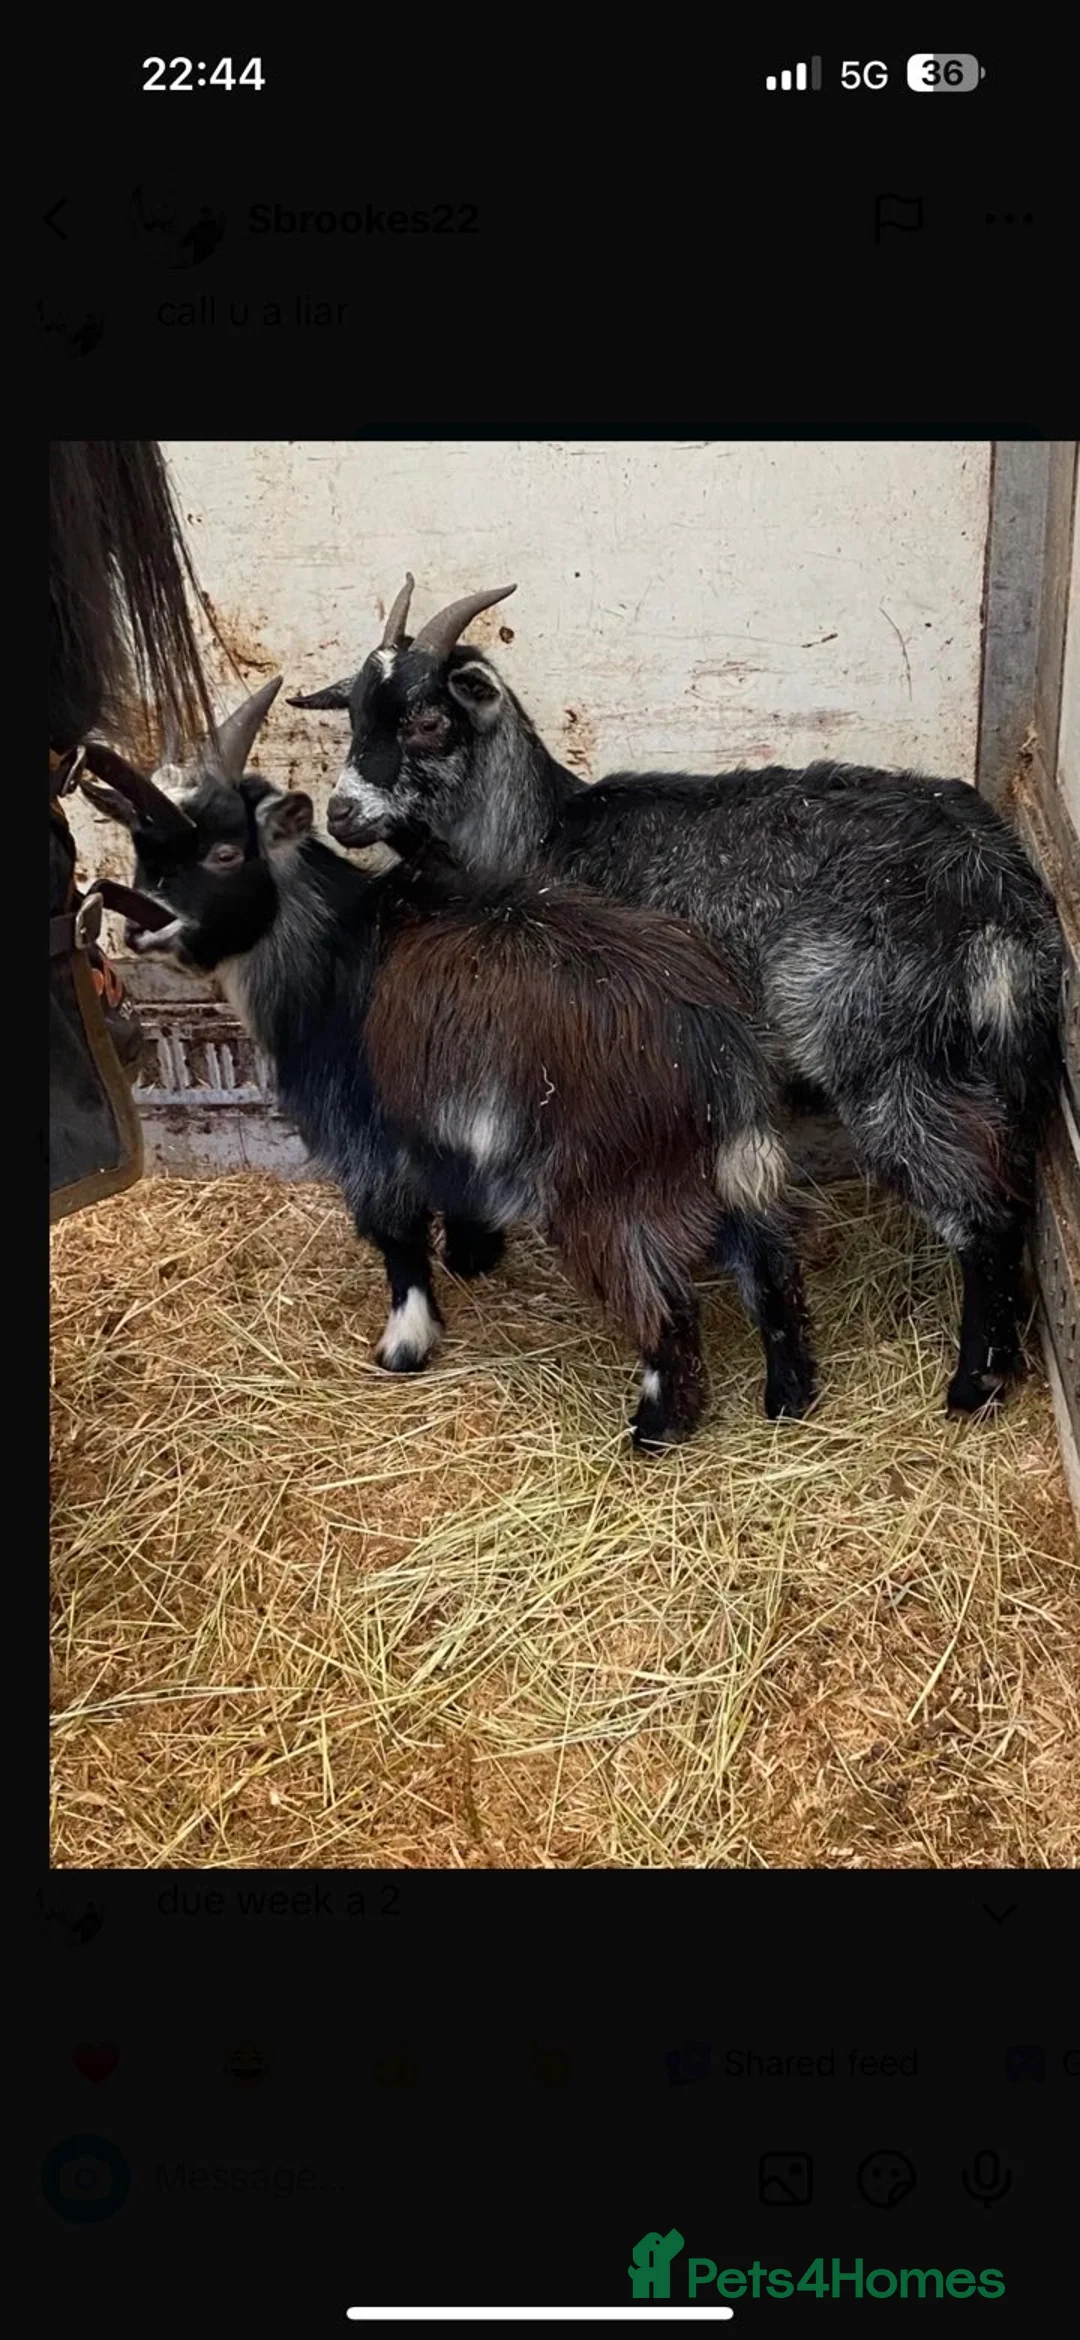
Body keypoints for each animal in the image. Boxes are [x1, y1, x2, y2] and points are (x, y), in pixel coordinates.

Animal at [79, 683, 818, 1449]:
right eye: (142, 847)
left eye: (226, 850)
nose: (138, 928)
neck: (329, 951)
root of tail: (717, 1043)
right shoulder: (442, 1129)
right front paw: (474, 1256)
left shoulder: (362, 1130)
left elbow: (396, 1237)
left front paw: (404, 1345)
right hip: (726, 1166)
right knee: (770, 1265)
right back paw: (789, 1393)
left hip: (607, 1188)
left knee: (664, 1303)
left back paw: (656, 1424)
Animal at [290, 577, 1065, 1417]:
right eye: (353, 714)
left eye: (428, 719)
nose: (341, 813)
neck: (536, 836)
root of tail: (994, 887)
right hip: (994, 1062)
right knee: (1012, 1185)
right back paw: (1003, 1360)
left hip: (885, 1053)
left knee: (978, 1212)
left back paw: (971, 1383)